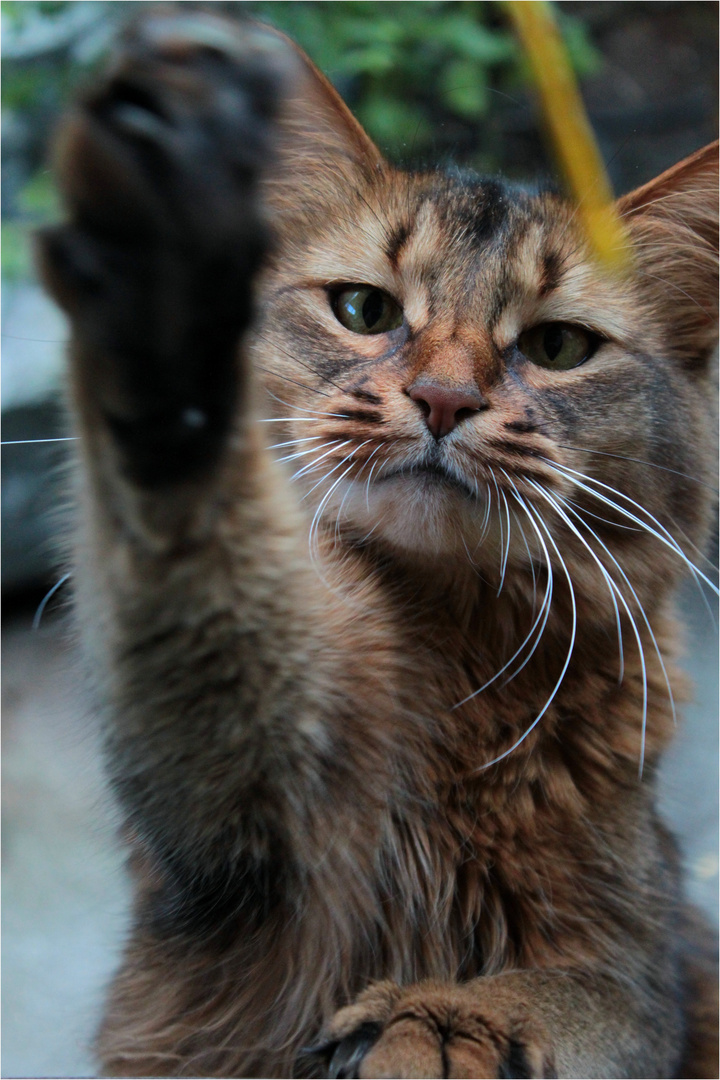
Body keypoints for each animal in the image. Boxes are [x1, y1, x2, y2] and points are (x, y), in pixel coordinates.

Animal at [38, 10, 720, 1080]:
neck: (457, 660)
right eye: (364, 310)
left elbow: (564, 999)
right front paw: (169, 290)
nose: (443, 400)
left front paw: (439, 1021)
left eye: (559, 348)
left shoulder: (643, 975)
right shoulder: (235, 835)